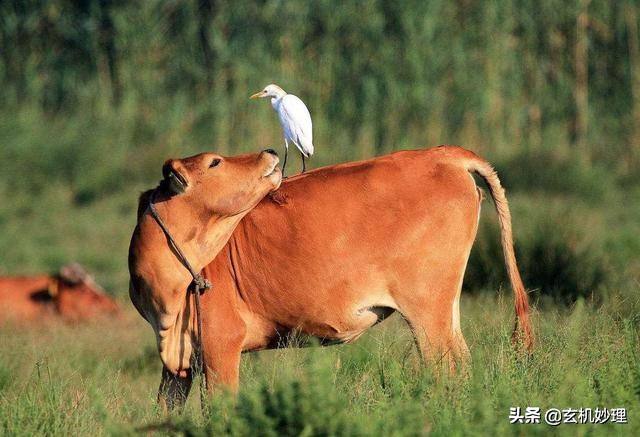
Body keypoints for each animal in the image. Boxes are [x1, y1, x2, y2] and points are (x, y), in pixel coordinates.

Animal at [127, 146, 532, 408]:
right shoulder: (178, 362)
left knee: (446, 368)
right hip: (445, 309)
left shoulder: (221, 344)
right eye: (215, 162)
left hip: (427, 311)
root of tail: (443, 154)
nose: (269, 150)